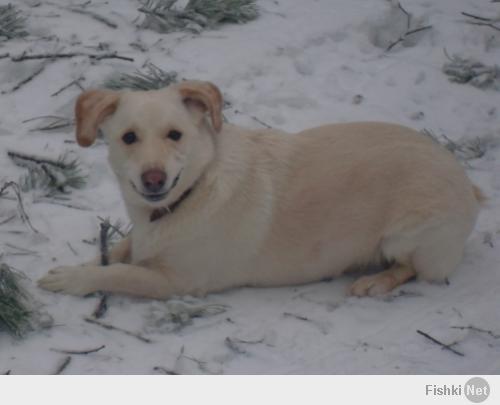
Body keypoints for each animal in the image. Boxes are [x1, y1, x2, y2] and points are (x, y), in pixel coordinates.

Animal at [37, 80, 482, 298]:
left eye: (175, 134)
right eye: (129, 138)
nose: (154, 179)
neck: (192, 193)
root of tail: (469, 183)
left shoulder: (178, 282)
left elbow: (121, 273)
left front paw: (75, 281)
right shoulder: (141, 238)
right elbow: (115, 253)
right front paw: (78, 267)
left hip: (405, 237)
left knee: (412, 269)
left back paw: (376, 281)